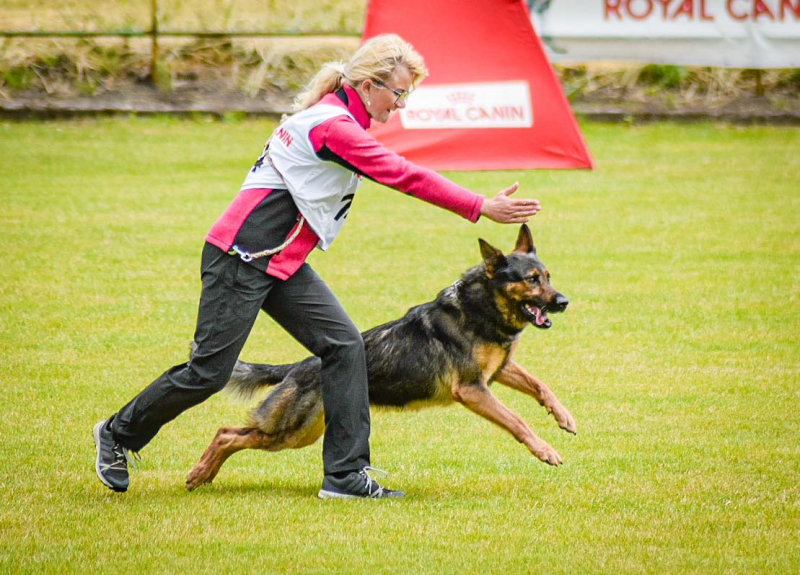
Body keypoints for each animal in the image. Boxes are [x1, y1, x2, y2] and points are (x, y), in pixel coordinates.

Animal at [186, 225, 576, 490]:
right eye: (531, 280)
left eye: (548, 276)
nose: (563, 301)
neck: (481, 306)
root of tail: (297, 367)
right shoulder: (472, 389)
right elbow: (517, 421)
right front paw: (545, 450)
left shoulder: (498, 371)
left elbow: (540, 386)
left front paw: (564, 417)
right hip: (289, 432)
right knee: (227, 434)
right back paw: (198, 473)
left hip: (301, 432)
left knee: (231, 432)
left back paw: (202, 474)